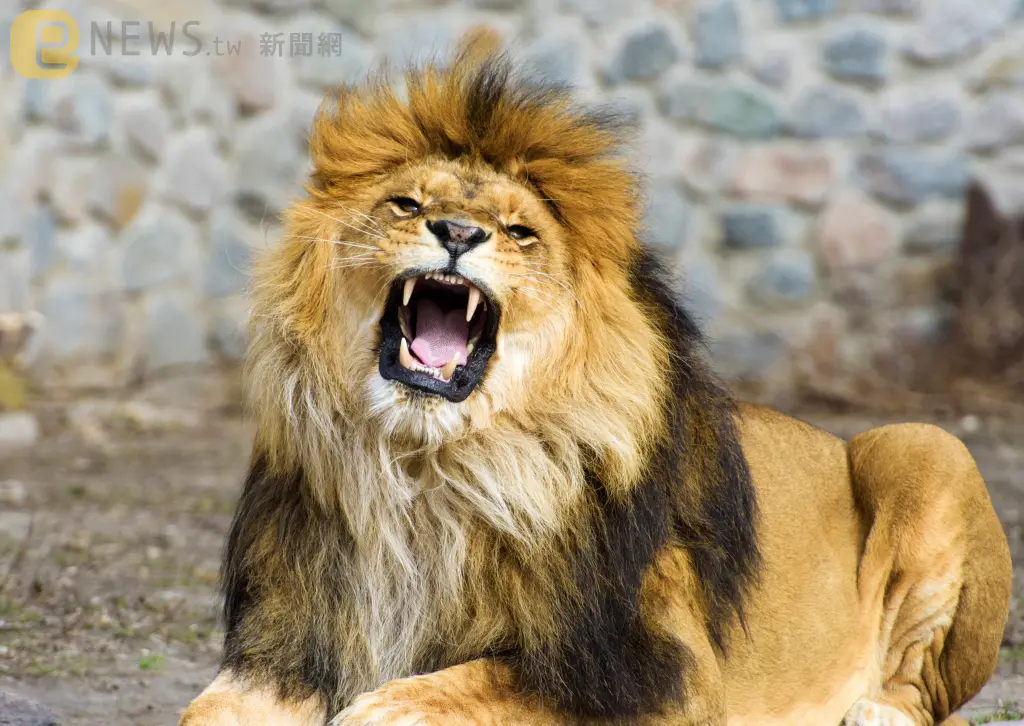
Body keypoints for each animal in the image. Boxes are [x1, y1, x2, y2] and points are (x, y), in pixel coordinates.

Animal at [180, 31, 1011, 724]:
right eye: (407, 204)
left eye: (520, 232)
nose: (456, 232)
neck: (427, 468)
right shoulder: (289, 639)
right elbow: (205, 711)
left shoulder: (658, 670)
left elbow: (483, 683)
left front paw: (388, 707)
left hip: (924, 443)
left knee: (921, 692)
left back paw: (875, 712)